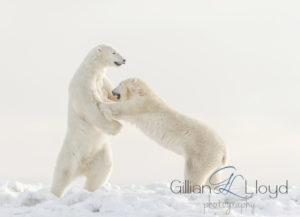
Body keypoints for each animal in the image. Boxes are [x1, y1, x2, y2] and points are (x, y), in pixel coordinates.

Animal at [51, 45, 125, 198]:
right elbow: (91, 109)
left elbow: (111, 96)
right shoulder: (83, 85)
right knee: (62, 175)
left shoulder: (103, 81)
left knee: (101, 173)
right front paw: (116, 128)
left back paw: (90, 191)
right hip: (70, 155)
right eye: (114, 52)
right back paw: (54, 195)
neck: (92, 71)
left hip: (100, 155)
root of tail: (82, 167)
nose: (124, 59)